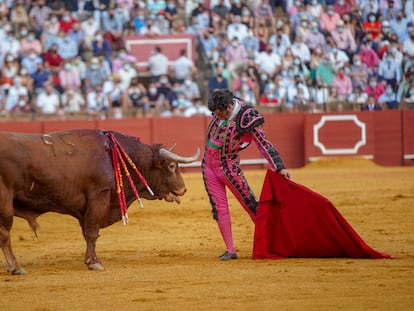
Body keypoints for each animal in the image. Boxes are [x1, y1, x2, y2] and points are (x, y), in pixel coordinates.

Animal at [0, 129, 201, 276]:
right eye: (172, 166)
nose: (183, 189)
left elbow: (88, 233)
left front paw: (91, 259)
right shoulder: (98, 199)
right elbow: (92, 233)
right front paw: (94, 262)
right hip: (5, 205)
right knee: (4, 234)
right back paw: (16, 267)